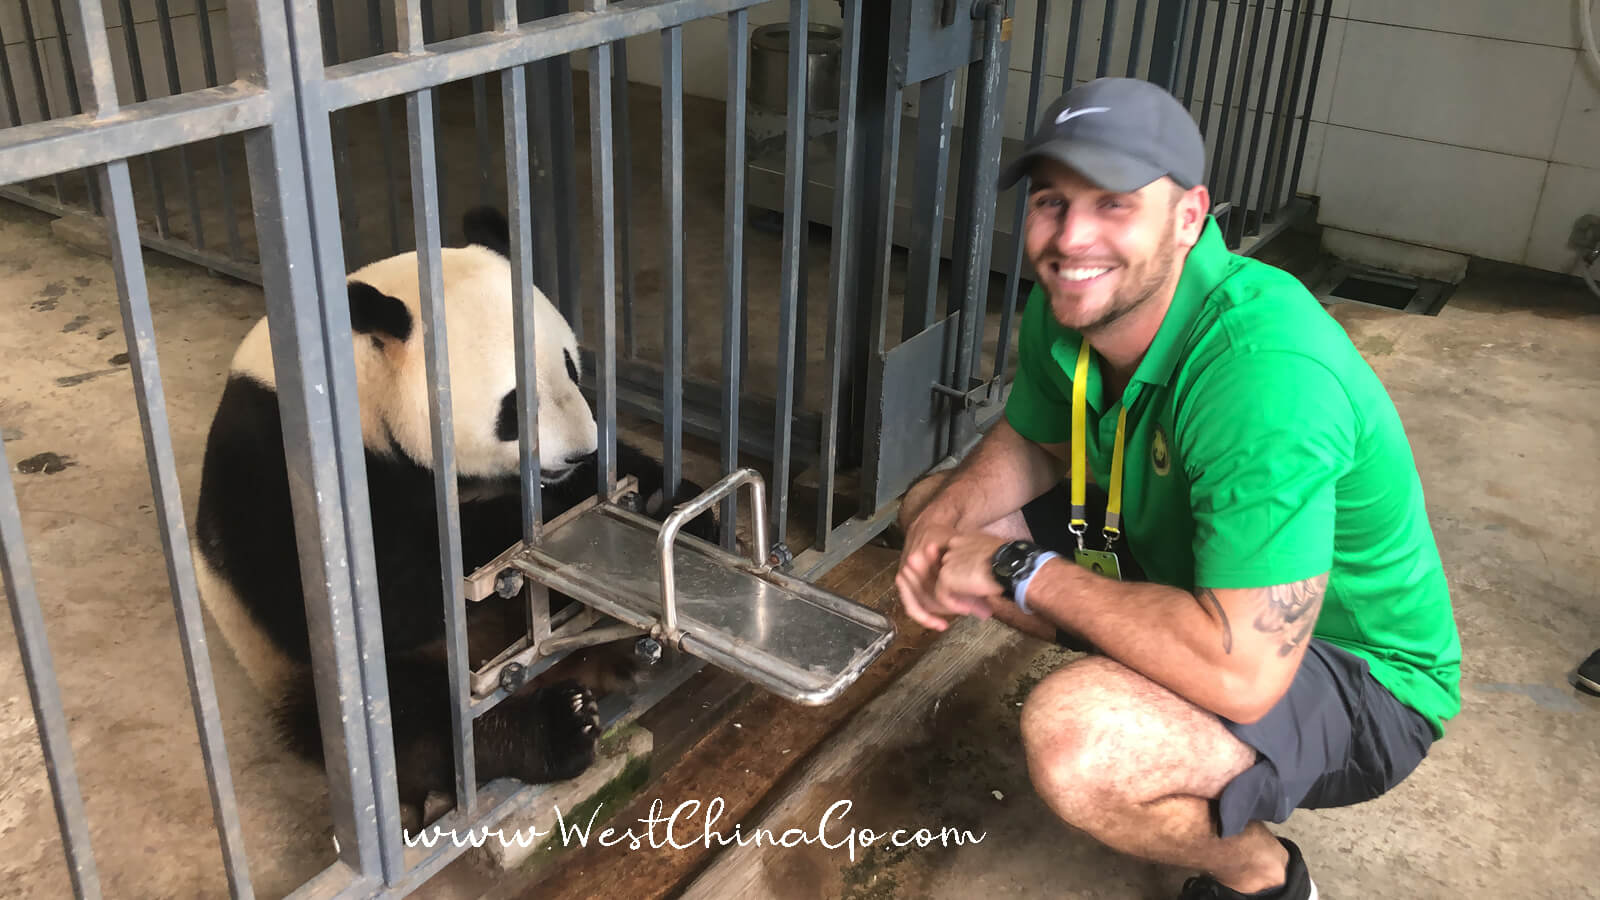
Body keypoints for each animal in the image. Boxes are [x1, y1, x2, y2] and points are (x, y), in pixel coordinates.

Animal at [188, 204, 713, 826]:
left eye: (572, 367)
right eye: (515, 406)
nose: (581, 453)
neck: (361, 376)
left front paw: (672, 507)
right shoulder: (277, 463)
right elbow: (380, 590)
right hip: (312, 677)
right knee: (405, 723)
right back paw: (551, 730)